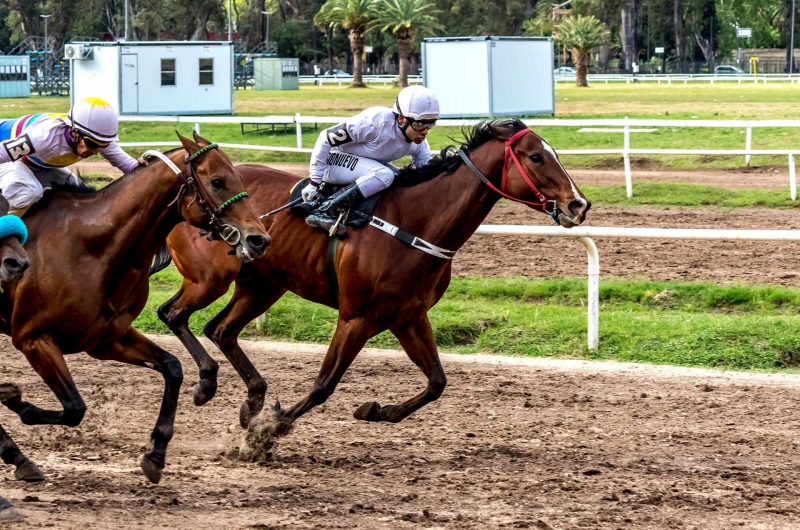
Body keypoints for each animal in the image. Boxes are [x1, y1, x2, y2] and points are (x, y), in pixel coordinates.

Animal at [0, 132, 268, 482]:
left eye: (238, 177)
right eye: (217, 181)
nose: (259, 240)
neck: (94, 248)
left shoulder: (106, 339)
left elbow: (173, 368)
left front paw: (156, 453)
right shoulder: (33, 337)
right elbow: (74, 407)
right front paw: (14, 399)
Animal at [161, 120, 588, 438]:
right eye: (536, 156)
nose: (578, 204)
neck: (415, 223)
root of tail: (182, 194)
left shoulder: (408, 317)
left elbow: (437, 382)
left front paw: (374, 410)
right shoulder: (356, 318)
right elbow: (323, 385)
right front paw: (268, 430)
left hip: (264, 284)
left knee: (221, 329)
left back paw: (252, 399)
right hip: (211, 279)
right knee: (173, 314)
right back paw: (208, 384)